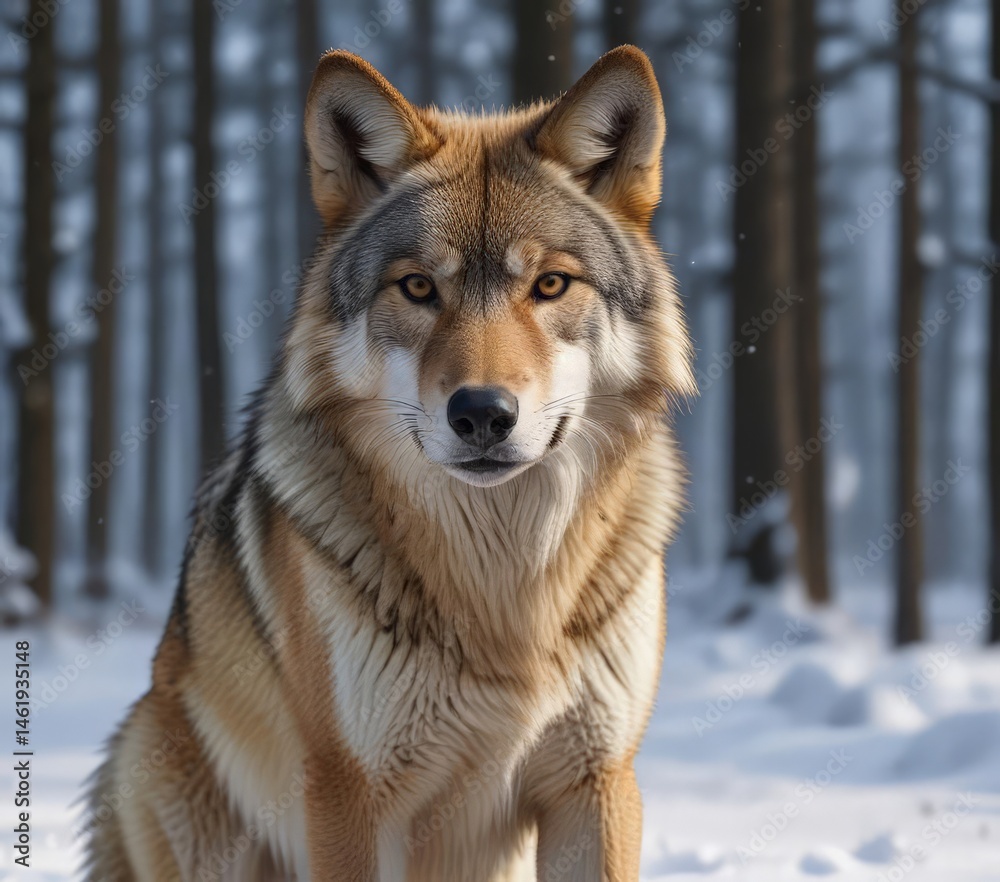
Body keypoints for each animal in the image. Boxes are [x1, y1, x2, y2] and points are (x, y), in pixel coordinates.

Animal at [84, 45, 695, 881]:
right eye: (417, 287)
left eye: (549, 284)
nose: (482, 413)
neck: (503, 594)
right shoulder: (346, 793)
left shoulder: (594, 782)